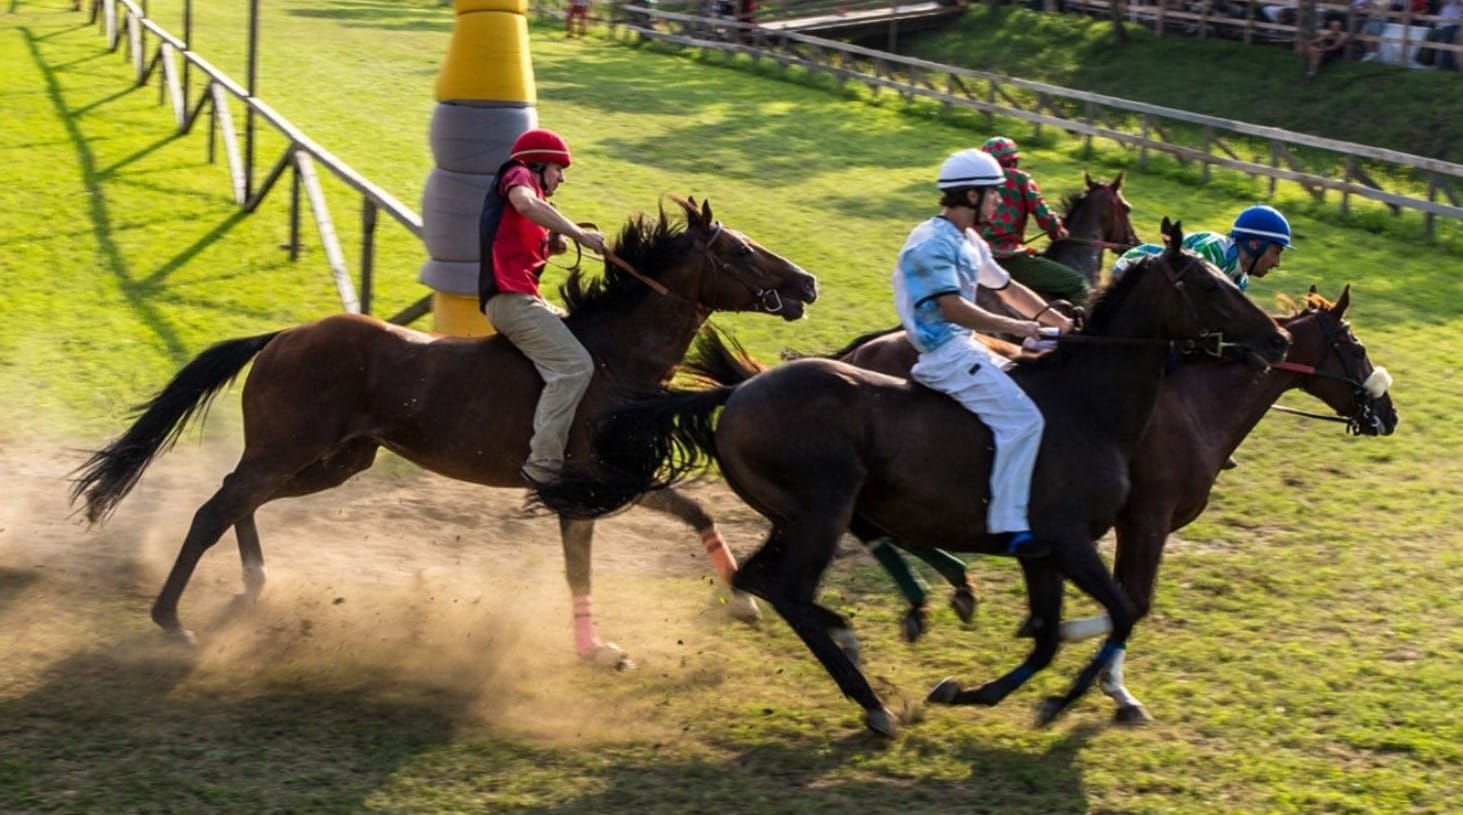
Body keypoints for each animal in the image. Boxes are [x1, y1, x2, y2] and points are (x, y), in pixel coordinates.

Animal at [71, 193, 825, 664]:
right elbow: (578, 569)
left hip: (335, 461)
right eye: (738, 250)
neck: (615, 355)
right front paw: (595, 650)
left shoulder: (615, 477)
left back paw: (256, 579)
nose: (808, 282)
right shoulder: (577, 488)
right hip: (292, 450)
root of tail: (283, 335)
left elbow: (696, 511)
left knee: (239, 501)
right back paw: (172, 622)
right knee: (214, 508)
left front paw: (741, 599)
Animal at [532, 219, 1287, 734]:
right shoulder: (1072, 540)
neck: (1086, 404)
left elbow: (1049, 633)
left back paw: (861, 637)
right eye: (1211, 288)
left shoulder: (1042, 549)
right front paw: (1054, 702)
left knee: (761, 580)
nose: (1276, 340)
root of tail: (736, 392)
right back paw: (870, 699)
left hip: (795, 516)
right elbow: (1121, 611)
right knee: (791, 590)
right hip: (823, 512)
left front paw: (975, 691)